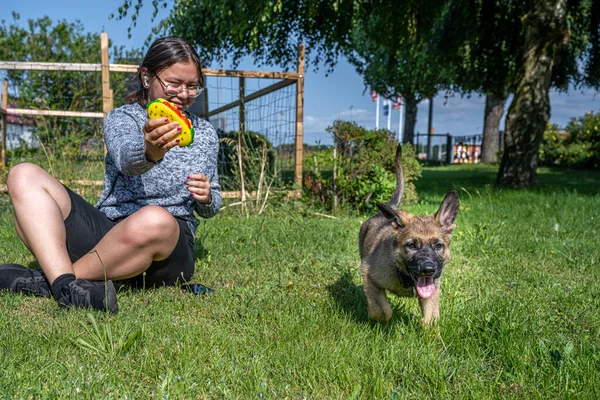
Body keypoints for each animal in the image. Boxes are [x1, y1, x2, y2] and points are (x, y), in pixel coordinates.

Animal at [358, 144, 462, 324]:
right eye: (411, 245)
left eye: (438, 245)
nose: (428, 270)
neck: (404, 275)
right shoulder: (368, 274)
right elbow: (382, 310)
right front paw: (374, 315)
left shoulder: (432, 289)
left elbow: (431, 318)